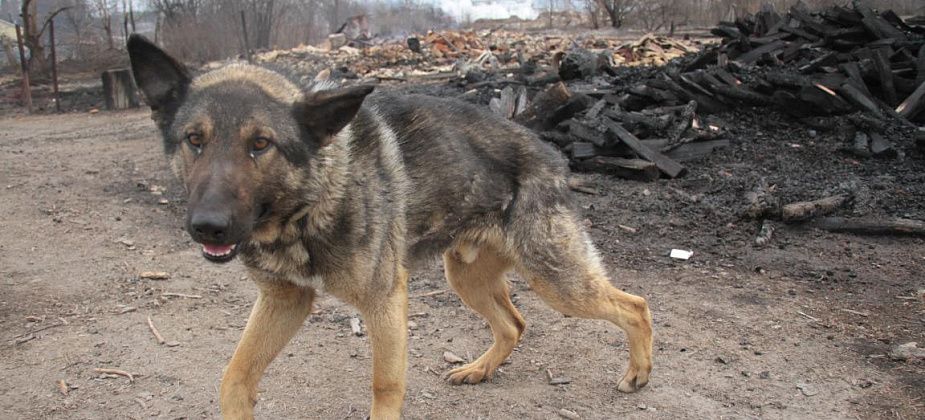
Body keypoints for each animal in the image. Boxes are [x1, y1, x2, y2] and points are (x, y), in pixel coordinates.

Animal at [128, 34, 648, 418]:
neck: (314, 198)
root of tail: (548, 149)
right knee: (515, 324)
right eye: (194, 140)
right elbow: (234, 378)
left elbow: (385, 384)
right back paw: (479, 369)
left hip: (558, 281)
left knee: (635, 305)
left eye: (261, 144)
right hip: (466, 277)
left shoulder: (384, 301)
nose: (208, 227)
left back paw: (638, 373)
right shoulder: (285, 300)